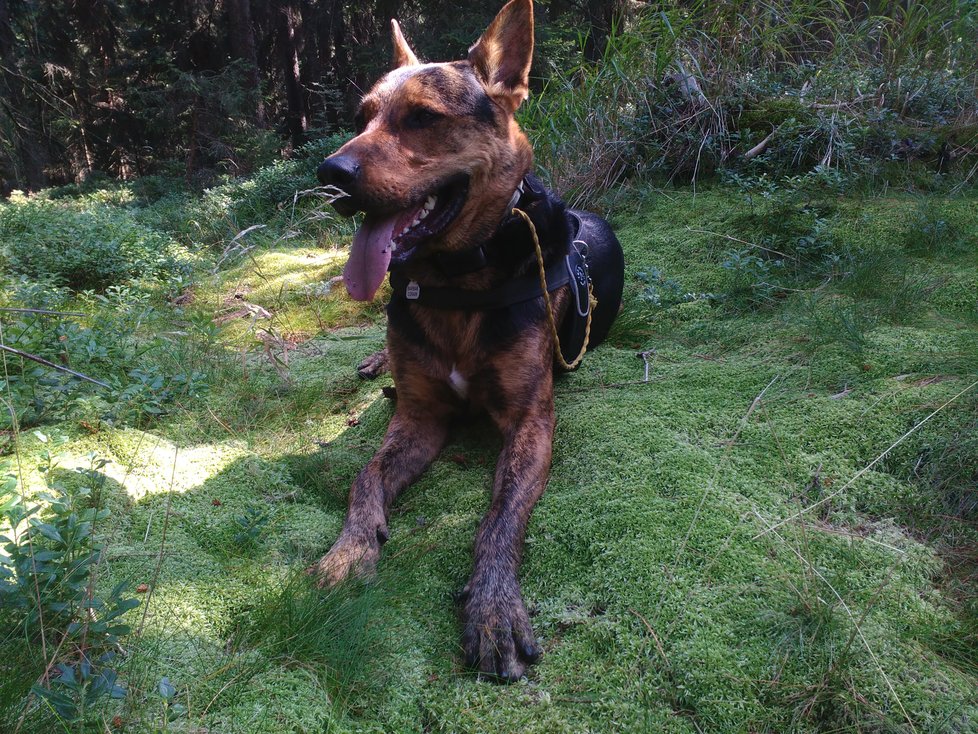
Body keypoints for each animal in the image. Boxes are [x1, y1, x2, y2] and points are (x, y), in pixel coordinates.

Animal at [308, 0, 620, 680]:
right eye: (360, 118)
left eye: (424, 118)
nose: (329, 175)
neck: (453, 278)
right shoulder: (421, 417)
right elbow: (365, 476)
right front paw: (349, 551)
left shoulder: (530, 422)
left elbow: (500, 519)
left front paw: (494, 605)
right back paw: (375, 362)